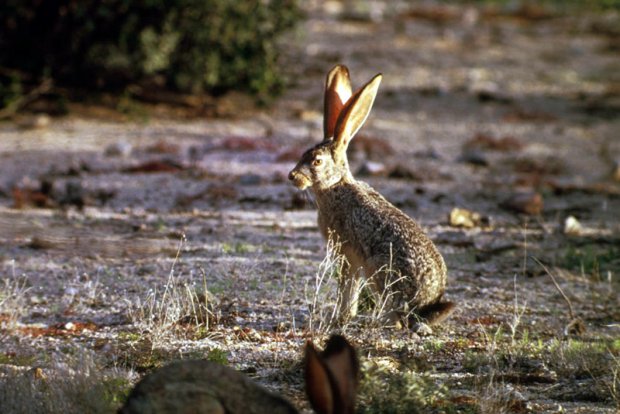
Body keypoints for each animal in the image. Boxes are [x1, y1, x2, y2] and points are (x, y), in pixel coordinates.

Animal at [288, 65, 452, 330]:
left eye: (316, 161)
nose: (292, 176)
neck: (335, 185)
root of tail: (424, 307)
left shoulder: (347, 253)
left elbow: (347, 286)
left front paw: (339, 318)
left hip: (380, 270)